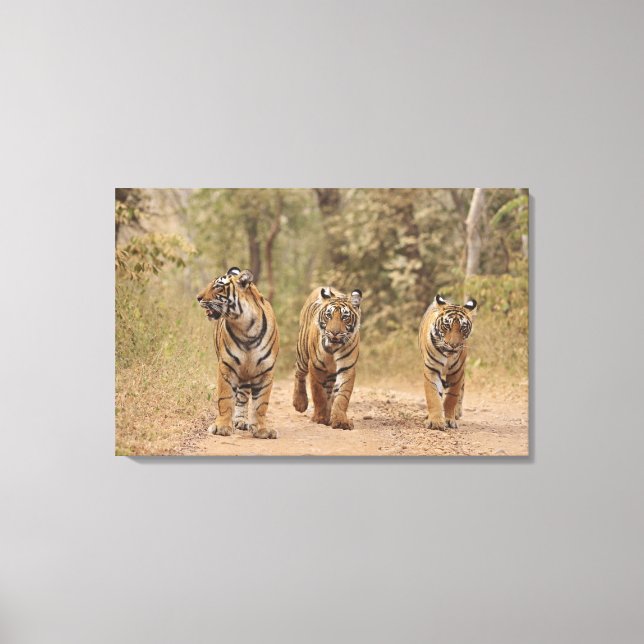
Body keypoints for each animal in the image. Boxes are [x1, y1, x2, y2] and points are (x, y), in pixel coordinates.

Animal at [196, 267, 279, 439]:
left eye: (218, 286)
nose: (198, 297)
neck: (246, 328)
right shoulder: (226, 366)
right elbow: (226, 398)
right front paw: (222, 427)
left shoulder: (266, 370)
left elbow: (261, 404)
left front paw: (262, 429)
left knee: (242, 397)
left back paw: (241, 421)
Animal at [292, 287, 362, 430]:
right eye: (328, 315)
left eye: (345, 317)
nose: (334, 332)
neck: (333, 349)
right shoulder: (315, 366)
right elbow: (318, 394)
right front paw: (320, 418)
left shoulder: (347, 368)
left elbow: (342, 396)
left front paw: (340, 420)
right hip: (303, 354)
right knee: (299, 374)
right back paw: (300, 403)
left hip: (330, 374)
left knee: (329, 392)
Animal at [418, 294, 477, 430]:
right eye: (446, 326)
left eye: (463, 328)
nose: (453, 345)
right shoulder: (431, 369)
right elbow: (433, 396)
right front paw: (435, 421)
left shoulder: (457, 372)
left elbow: (452, 397)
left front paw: (449, 420)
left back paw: (457, 413)